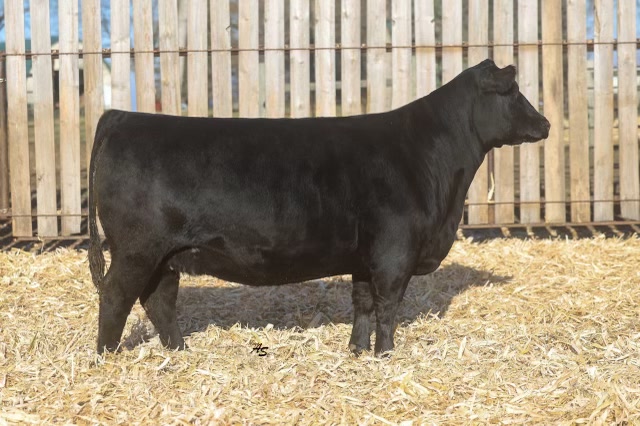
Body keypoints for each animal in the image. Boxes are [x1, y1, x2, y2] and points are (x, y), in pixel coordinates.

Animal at [88, 59, 550, 357]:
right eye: (513, 92)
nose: (544, 123)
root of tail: (120, 116)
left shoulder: (365, 257)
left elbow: (362, 305)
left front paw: (358, 352)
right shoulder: (394, 253)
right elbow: (387, 307)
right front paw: (386, 355)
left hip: (167, 254)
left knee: (159, 300)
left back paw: (179, 351)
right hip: (136, 249)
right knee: (115, 296)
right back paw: (107, 358)